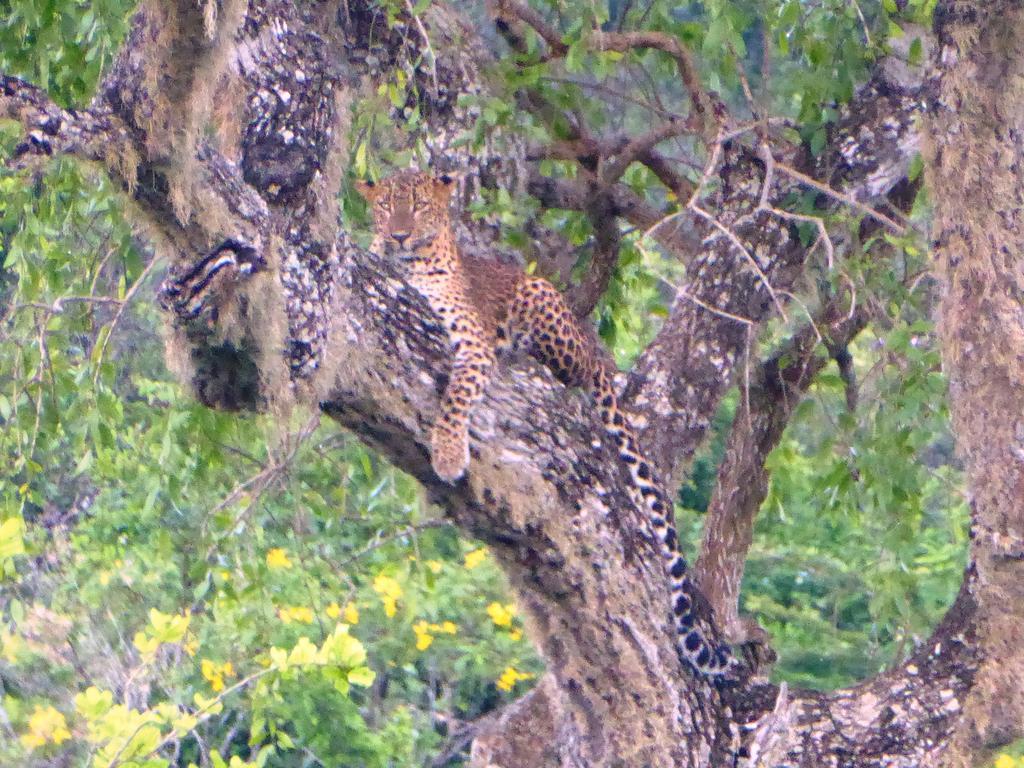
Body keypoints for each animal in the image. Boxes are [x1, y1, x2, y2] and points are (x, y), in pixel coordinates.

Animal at [356, 167, 733, 679]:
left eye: (417, 206)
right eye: (384, 206)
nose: (398, 234)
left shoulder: (473, 344)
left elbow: (455, 399)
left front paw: (449, 455)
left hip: (543, 304)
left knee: (585, 369)